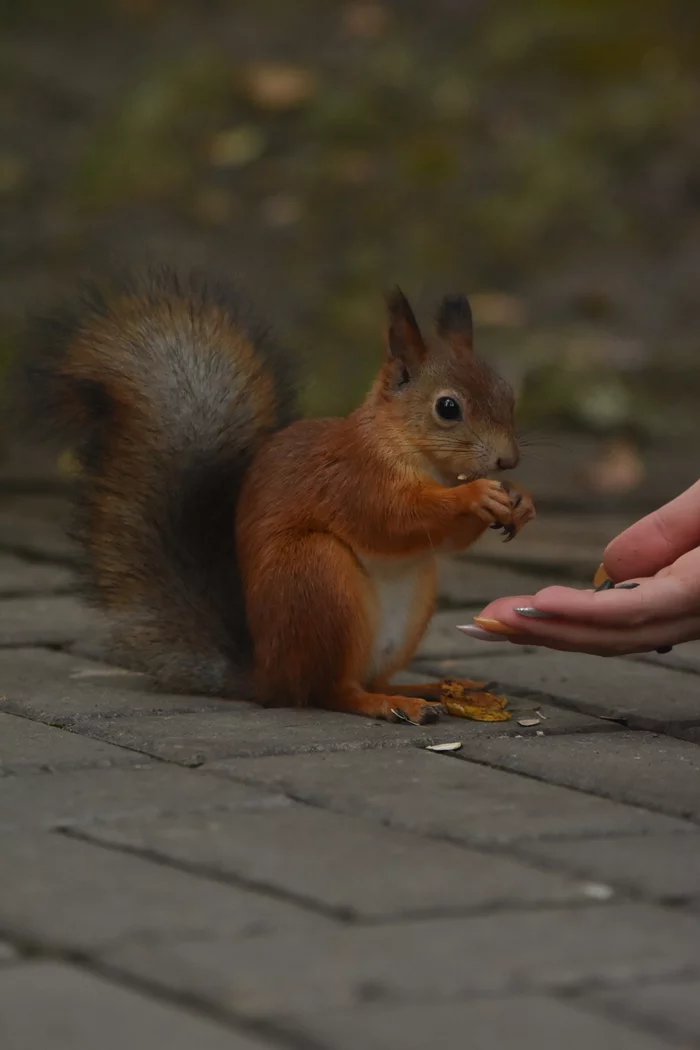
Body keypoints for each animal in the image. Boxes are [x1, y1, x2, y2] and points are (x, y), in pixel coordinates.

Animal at [21, 264, 537, 722]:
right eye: (447, 408)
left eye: (508, 393)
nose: (508, 461)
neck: (415, 453)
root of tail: (268, 675)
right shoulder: (353, 479)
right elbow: (393, 519)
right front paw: (477, 496)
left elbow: (443, 538)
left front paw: (520, 500)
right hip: (315, 575)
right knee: (331, 690)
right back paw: (388, 703)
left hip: (411, 597)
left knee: (369, 677)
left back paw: (432, 687)